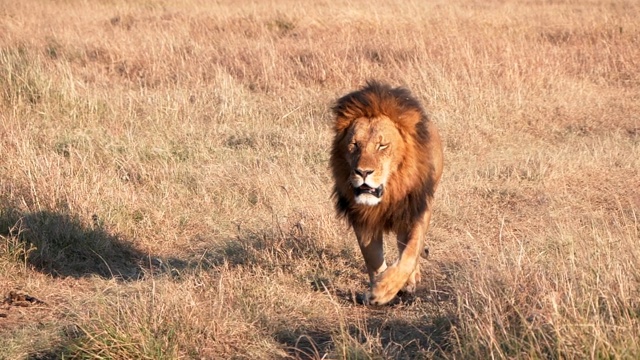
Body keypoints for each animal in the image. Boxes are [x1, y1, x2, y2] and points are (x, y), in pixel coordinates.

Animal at [328, 80, 442, 306]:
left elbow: (410, 251)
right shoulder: (362, 216)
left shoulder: (417, 209)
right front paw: (376, 289)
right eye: (354, 144)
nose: (363, 172)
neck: (390, 193)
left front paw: (386, 289)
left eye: (382, 145)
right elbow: (372, 256)